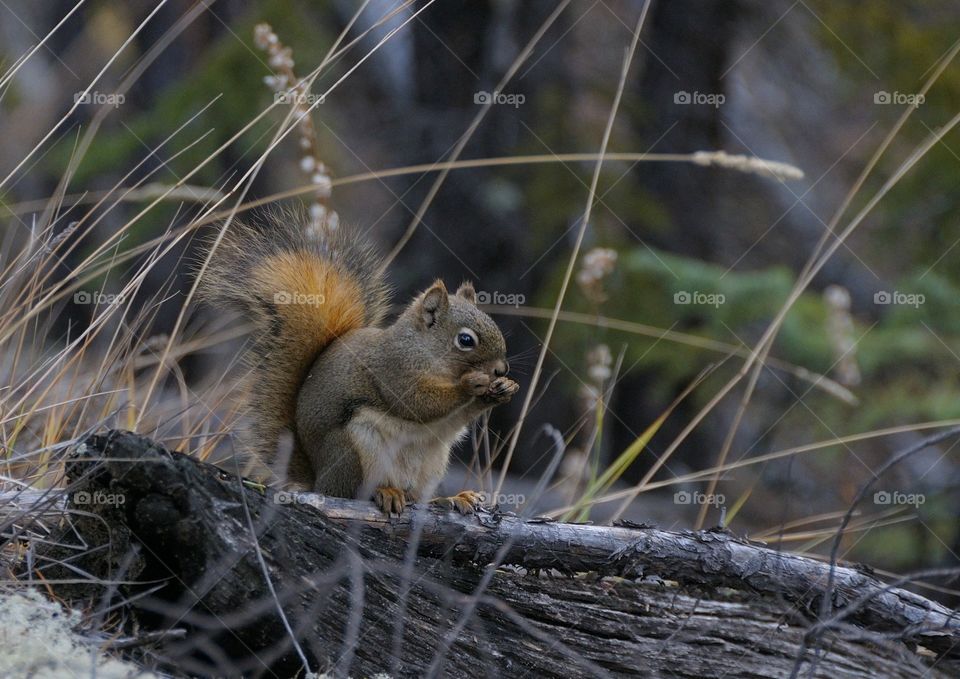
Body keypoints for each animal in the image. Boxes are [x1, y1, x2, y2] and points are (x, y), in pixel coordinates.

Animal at [200, 209, 519, 514]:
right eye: (465, 340)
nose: (501, 369)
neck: (427, 353)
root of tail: (320, 479)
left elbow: (455, 418)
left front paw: (503, 388)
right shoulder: (393, 368)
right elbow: (417, 403)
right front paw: (472, 383)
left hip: (432, 462)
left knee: (418, 496)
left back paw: (451, 498)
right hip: (354, 449)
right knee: (353, 492)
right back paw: (386, 492)